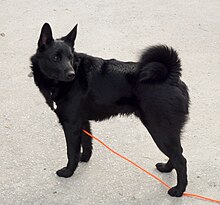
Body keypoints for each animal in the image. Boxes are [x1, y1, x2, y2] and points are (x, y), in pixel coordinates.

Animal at [30, 22, 189, 197]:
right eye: (56, 58)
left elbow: (71, 152)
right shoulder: (82, 121)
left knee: (181, 159)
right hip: (168, 131)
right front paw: (83, 159)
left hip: (159, 130)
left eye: (70, 58)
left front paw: (68, 171)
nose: (71, 74)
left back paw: (178, 190)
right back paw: (166, 168)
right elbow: (86, 144)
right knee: (178, 152)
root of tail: (171, 77)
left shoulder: (71, 125)